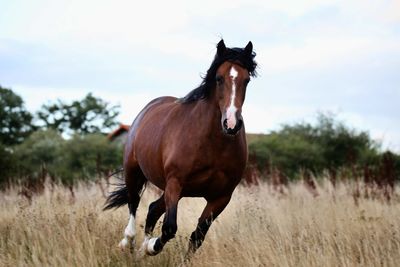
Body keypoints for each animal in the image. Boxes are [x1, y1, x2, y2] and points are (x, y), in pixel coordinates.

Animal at [104, 39, 258, 258]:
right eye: (219, 78)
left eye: (246, 80)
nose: (231, 124)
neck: (212, 144)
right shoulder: (175, 182)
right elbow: (169, 228)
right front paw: (151, 246)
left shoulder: (221, 196)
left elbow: (197, 236)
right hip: (136, 173)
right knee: (134, 203)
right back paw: (129, 243)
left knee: (153, 209)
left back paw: (141, 250)